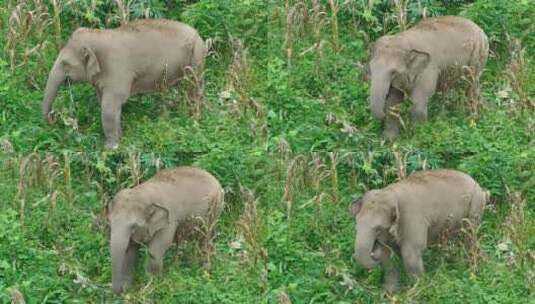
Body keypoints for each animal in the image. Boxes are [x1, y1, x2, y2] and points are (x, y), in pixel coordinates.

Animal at [40, 19, 205, 148]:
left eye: (65, 64)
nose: (53, 118)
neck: (98, 35)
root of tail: (199, 35)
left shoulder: (117, 70)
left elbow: (109, 107)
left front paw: (110, 148)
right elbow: (106, 103)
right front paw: (121, 138)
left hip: (196, 58)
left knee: (194, 88)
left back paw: (194, 120)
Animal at [107, 166, 224, 294]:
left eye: (133, 226)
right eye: (110, 223)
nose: (120, 290)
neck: (143, 192)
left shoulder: (169, 220)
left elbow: (155, 250)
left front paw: (150, 287)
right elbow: (130, 252)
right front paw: (129, 288)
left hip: (215, 208)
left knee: (205, 237)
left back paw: (205, 269)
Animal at [350, 170, 488, 290]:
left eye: (378, 229)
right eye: (356, 224)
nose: (374, 252)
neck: (390, 193)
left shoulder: (412, 219)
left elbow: (410, 254)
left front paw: (416, 289)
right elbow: (388, 256)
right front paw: (390, 293)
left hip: (475, 207)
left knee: (470, 236)